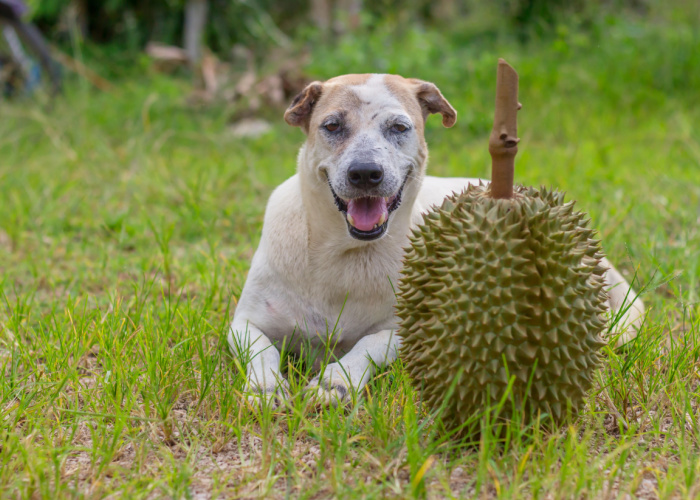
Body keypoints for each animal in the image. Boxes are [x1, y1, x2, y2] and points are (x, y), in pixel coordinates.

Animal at [230, 73, 644, 406]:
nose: (365, 173)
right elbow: (262, 352)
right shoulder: (243, 324)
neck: (345, 252)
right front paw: (265, 388)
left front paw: (335, 382)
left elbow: (366, 345)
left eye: (399, 127)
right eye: (331, 126)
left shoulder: (404, 331)